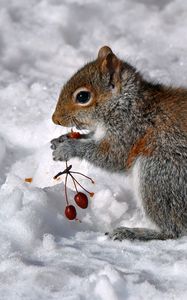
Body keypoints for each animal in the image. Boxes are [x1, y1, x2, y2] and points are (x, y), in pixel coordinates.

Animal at [50, 45, 187, 241]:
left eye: (83, 96)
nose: (55, 119)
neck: (126, 103)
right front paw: (61, 140)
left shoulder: (129, 131)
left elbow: (111, 157)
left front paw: (69, 148)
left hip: (159, 174)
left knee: (174, 230)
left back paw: (133, 232)